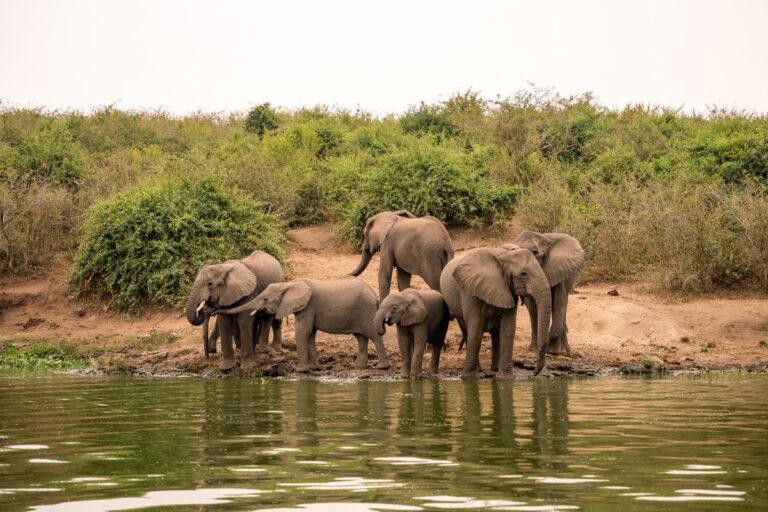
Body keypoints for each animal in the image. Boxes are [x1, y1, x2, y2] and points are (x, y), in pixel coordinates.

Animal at [223, 277, 391, 373]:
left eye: (265, 299)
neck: (288, 284)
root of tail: (374, 295)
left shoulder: (308, 307)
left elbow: (303, 332)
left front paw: (301, 371)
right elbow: (310, 334)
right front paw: (314, 368)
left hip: (366, 311)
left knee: (374, 336)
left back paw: (382, 367)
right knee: (361, 337)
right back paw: (358, 367)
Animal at [440, 247, 552, 379]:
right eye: (523, 273)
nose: (534, 372)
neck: (504, 256)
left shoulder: (509, 291)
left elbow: (508, 329)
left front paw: (505, 379)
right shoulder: (470, 290)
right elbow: (476, 329)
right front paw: (469, 378)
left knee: (496, 334)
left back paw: (495, 368)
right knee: (467, 329)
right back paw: (480, 369)